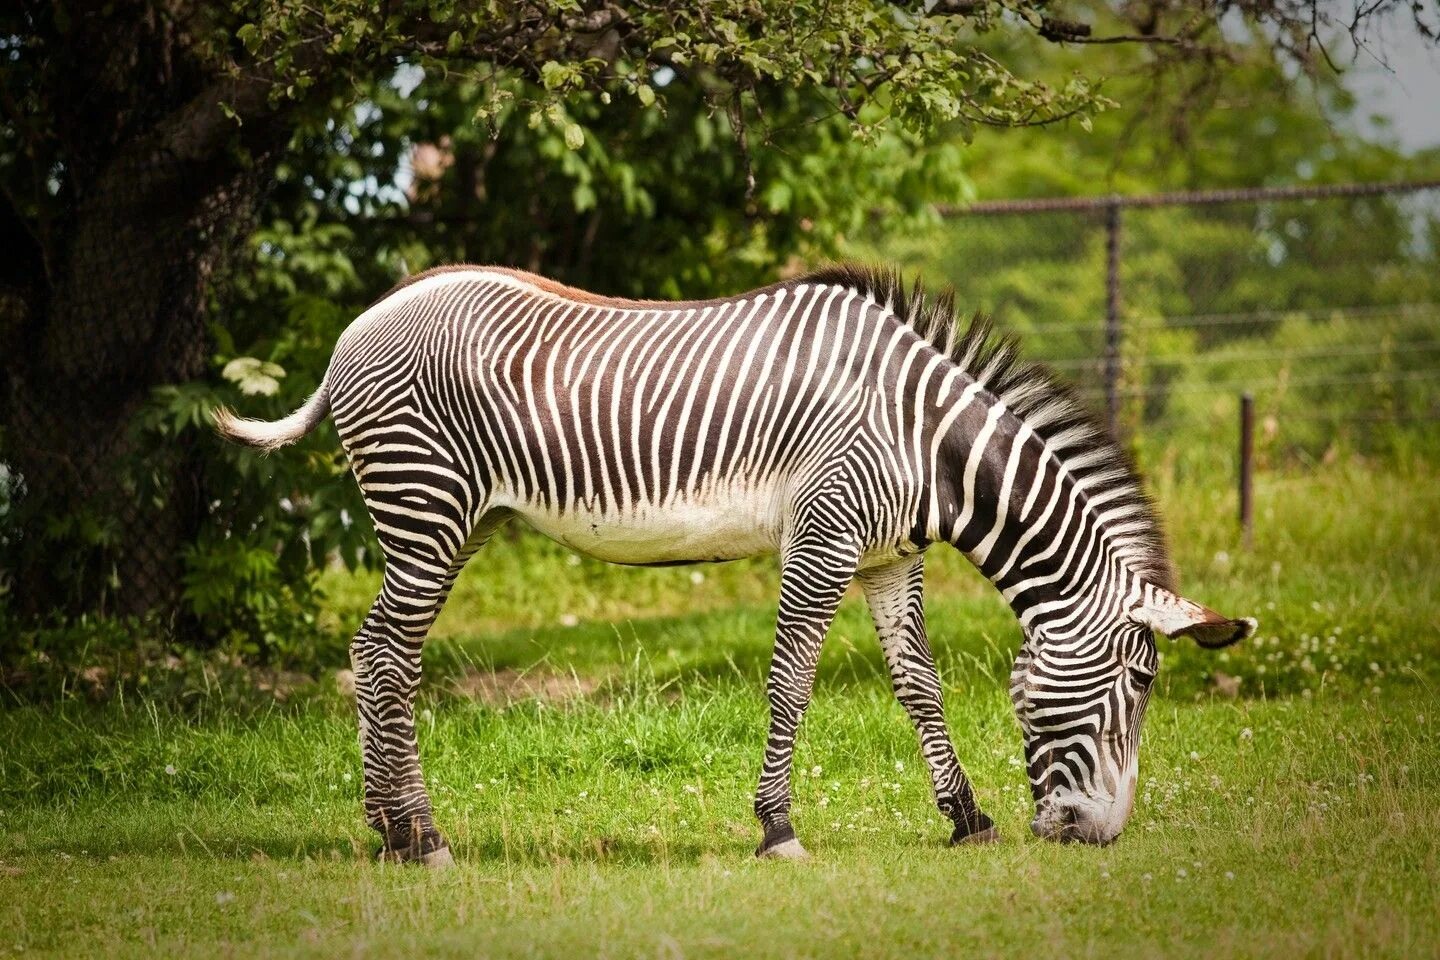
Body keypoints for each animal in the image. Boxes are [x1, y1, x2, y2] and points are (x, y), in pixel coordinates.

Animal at [215, 264, 1254, 866]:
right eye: (1143, 681)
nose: (1097, 836)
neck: (927, 441)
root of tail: (361, 323)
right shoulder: (824, 533)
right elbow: (791, 680)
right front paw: (777, 828)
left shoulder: (889, 558)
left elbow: (918, 685)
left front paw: (967, 819)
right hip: (424, 506)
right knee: (388, 658)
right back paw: (420, 836)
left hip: (454, 517)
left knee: (372, 650)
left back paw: (386, 831)